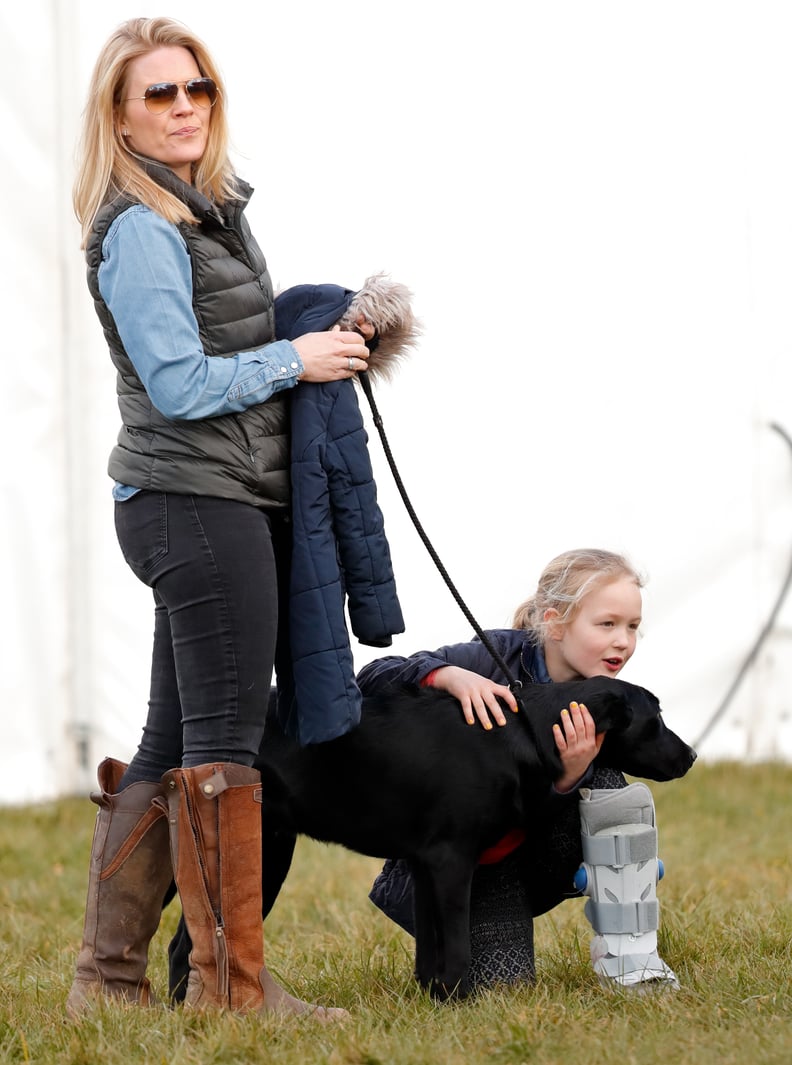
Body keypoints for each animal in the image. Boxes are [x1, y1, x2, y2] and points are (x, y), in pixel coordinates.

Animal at [167, 677, 694, 1001]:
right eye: (655, 718)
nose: (690, 755)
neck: (524, 730)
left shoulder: (423, 865)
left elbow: (429, 946)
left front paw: (432, 999)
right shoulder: (450, 860)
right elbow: (456, 943)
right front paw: (462, 1000)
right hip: (262, 857)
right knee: (186, 942)